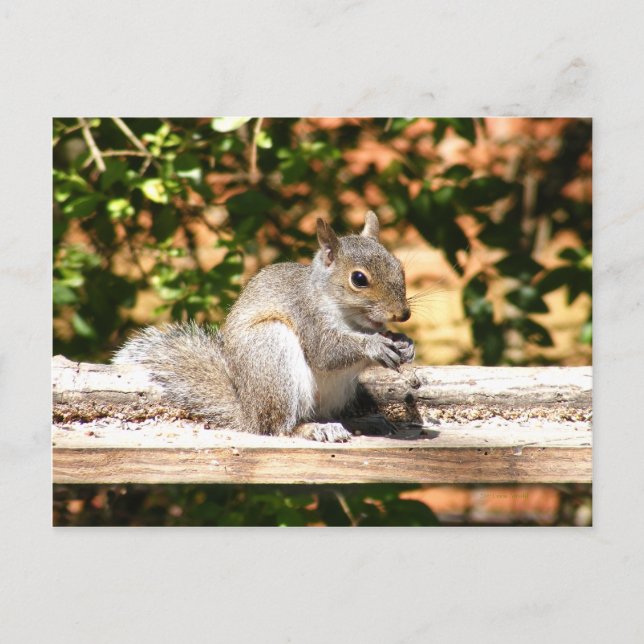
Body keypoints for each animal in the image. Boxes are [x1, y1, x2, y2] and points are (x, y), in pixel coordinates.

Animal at [114, 211, 415, 442]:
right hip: (272, 352)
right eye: (359, 279)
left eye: (399, 267)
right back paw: (312, 429)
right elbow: (325, 352)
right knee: (279, 427)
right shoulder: (305, 314)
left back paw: (363, 423)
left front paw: (404, 342)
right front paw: (374, 344)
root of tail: (249, 413)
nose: (403, 314)